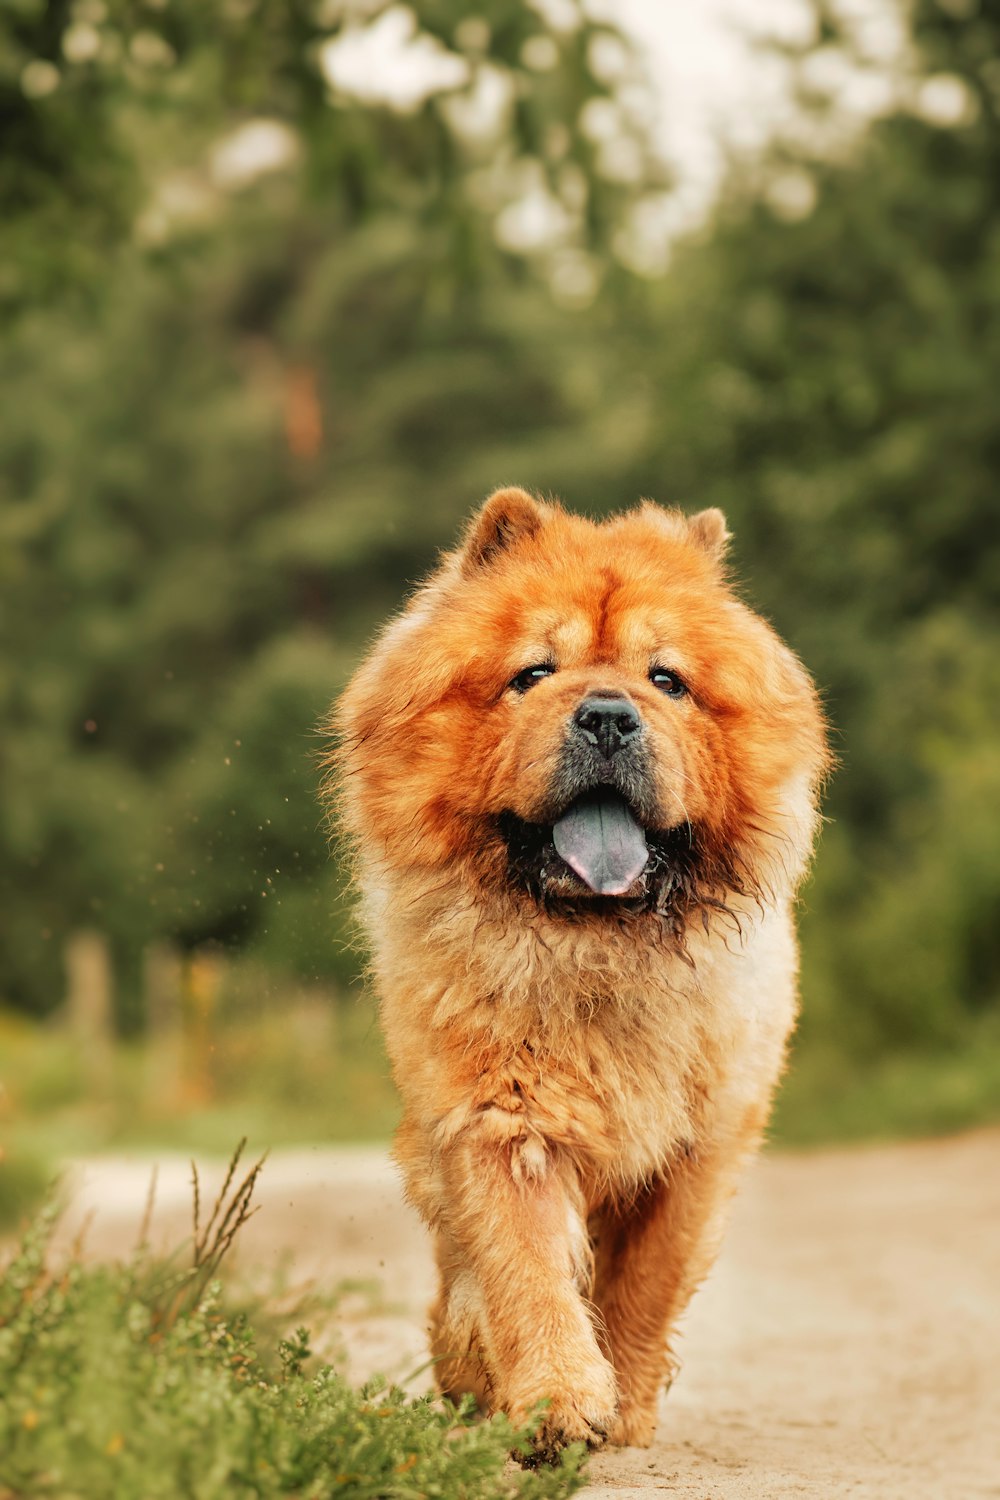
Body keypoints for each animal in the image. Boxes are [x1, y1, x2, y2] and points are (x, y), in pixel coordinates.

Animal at [332, 489, 833, 1452]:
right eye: (534, 673)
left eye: (666, 680)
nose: (606, 715)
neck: (597, 951)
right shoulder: (500, 1116)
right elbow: (525, 1263)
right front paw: (556, 1403)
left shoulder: (696, 1149)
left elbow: (643, 1283)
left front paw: (625, 1408)